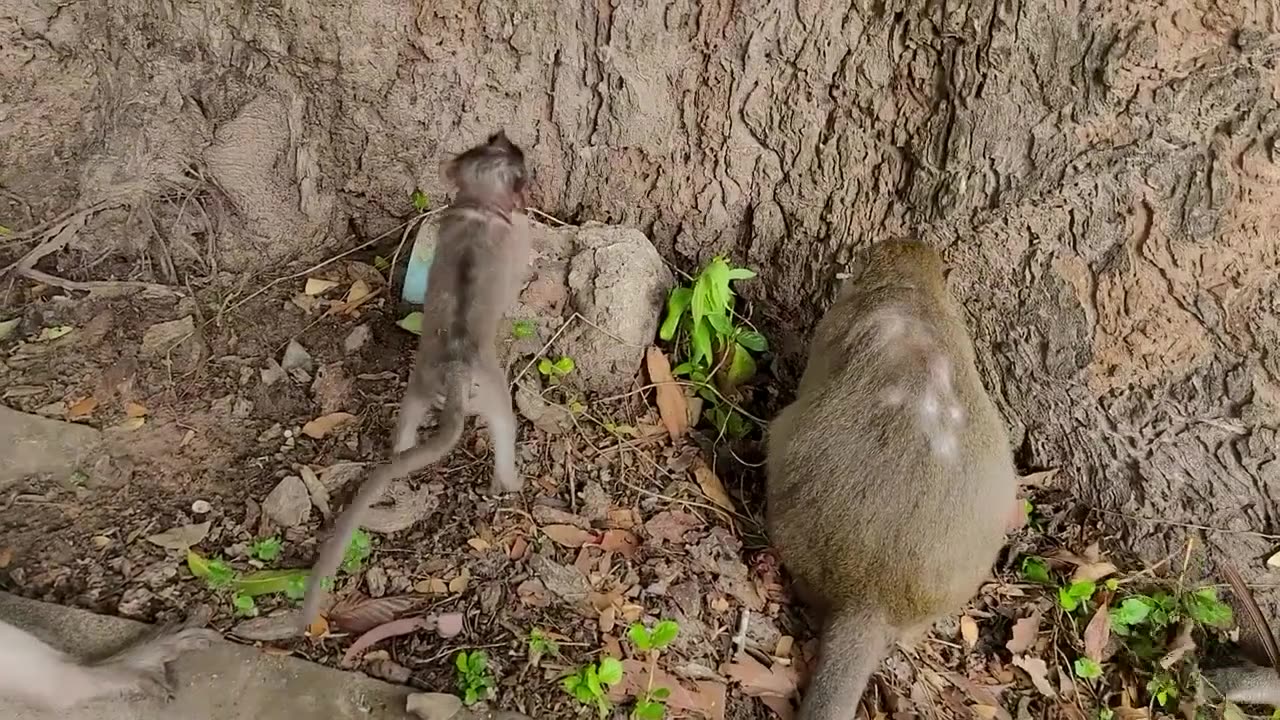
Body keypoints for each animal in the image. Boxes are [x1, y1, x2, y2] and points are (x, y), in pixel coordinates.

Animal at [299, 130, 529, 627]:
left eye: (490, 142)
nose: (505, 135)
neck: (480, 202)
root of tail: (456, 376)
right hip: (497, 400)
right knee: (504, 439)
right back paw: (511, 482)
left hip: (415, 392)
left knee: (402, 434)